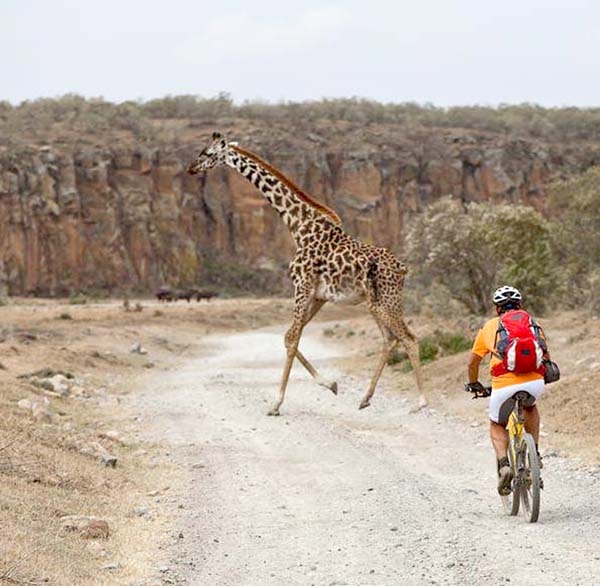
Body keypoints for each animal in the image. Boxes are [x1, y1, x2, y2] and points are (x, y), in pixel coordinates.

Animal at [188, 132, 426, 416]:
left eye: (208, 153)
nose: (191, 168)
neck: (298, 226)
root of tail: (402, 268)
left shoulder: (301, 286)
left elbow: (291, 339)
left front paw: (276, 403)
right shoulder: (318, 295)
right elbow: (290, 336)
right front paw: (331, 384)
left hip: (385, 302)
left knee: (409, 338)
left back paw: (421, 402)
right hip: (375, 303)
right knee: (390, 339)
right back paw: (365, 398)